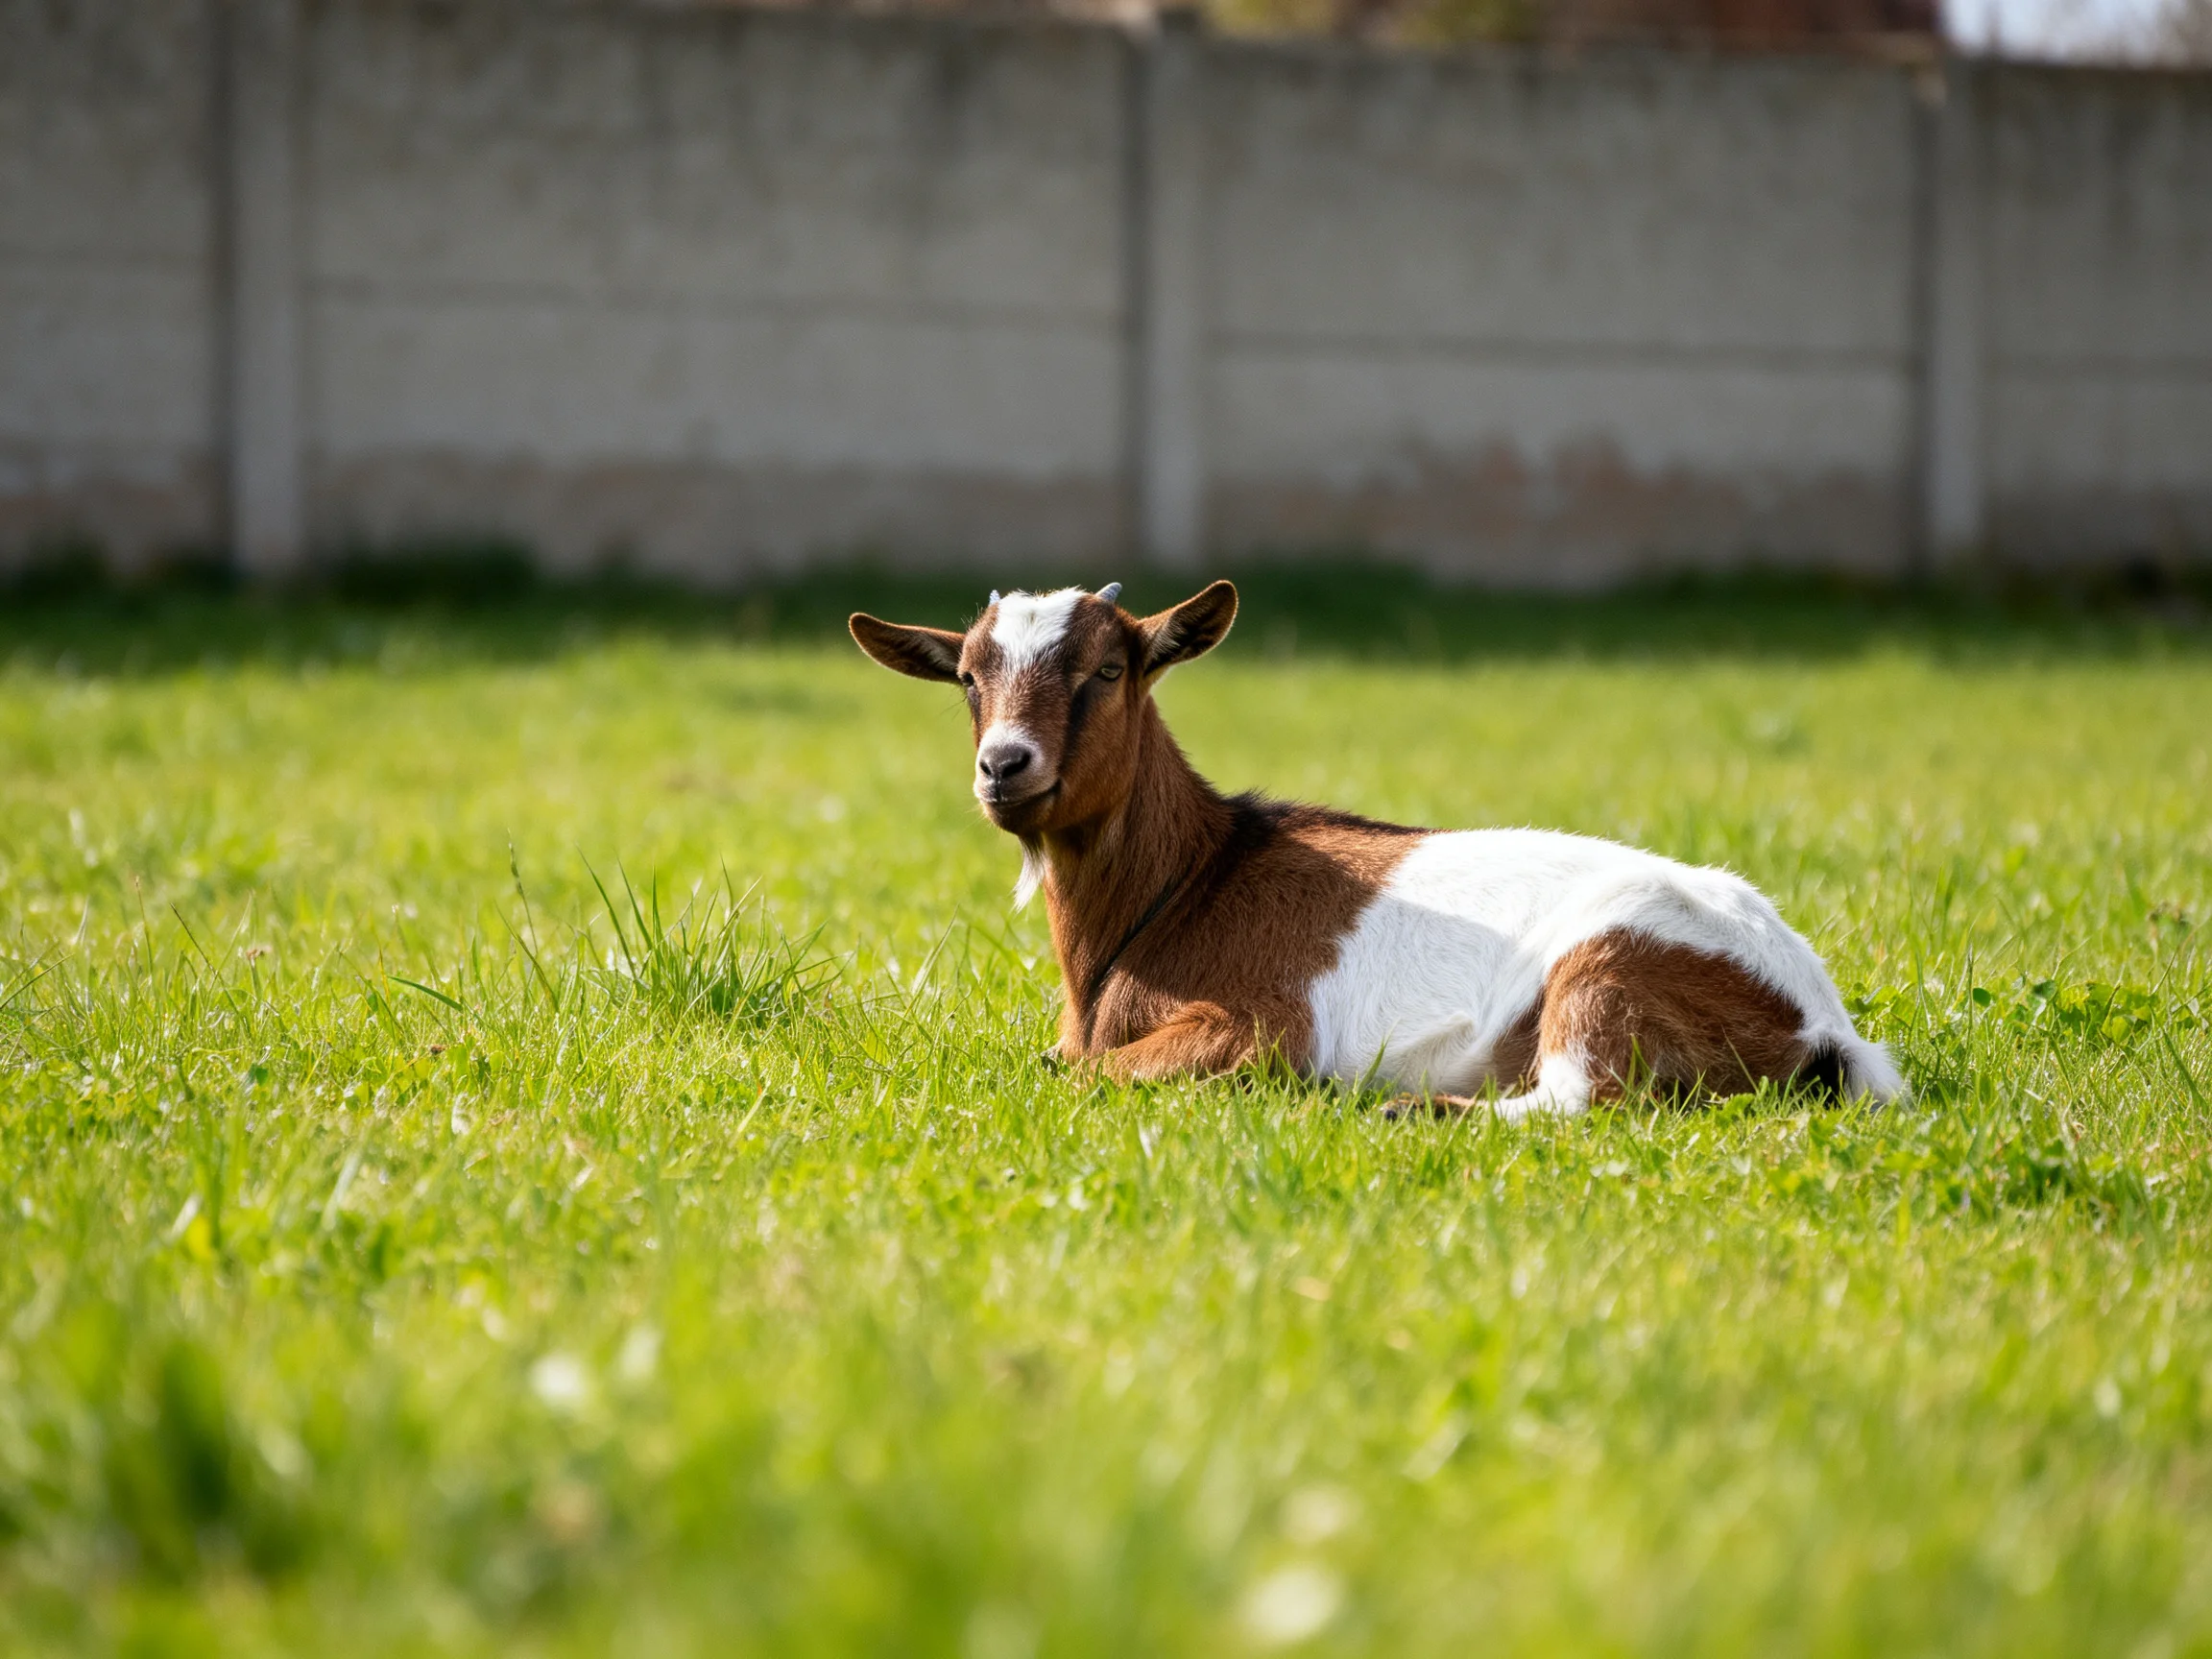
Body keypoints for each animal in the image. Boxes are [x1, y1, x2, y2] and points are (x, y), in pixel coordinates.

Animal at [849, 581, 1906, 1116]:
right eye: (969, 677)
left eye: (1109, 669)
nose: (1004, 765)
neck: (1189, 882)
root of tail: (1822, 1022)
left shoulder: (1262, 1027)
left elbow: (1084, 1072)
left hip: (1611, 968)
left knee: (1575, 1100)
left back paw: (1403, 1107)